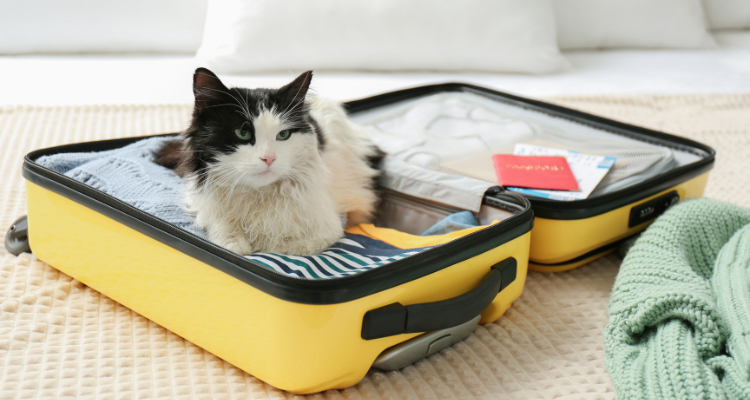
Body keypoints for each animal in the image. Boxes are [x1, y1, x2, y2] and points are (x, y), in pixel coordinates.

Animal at [157, 68, 382, 256]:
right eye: (243, 133)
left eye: (283, 135)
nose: (269, 158)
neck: (259, 194)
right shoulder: (203, 202)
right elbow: (227, 236)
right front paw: (239, 243)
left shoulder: (329, 227)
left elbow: (285, 246)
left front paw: (262, 244)